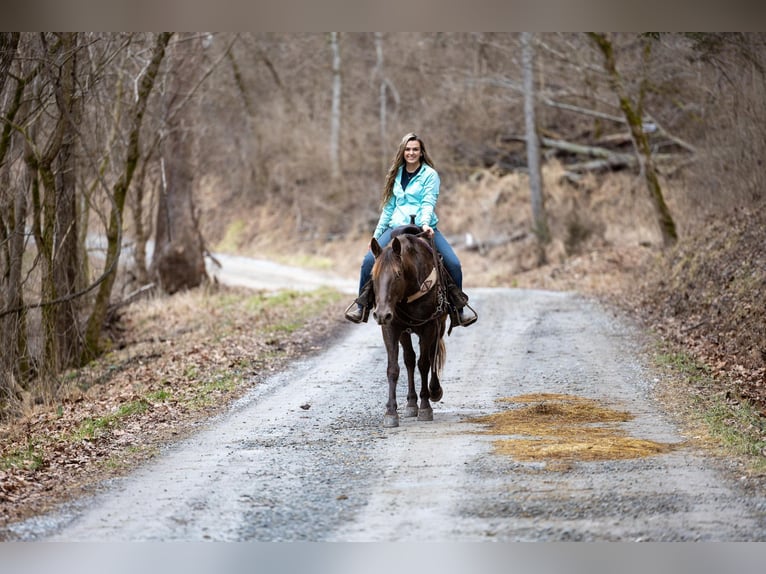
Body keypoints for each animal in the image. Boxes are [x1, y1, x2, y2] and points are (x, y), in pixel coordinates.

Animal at [370, 227, 450, 430]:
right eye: (373, 276)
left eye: (398, 274)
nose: (381, 314)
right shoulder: (391, 328)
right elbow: (393, 368)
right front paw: (391, 412)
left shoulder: (429, 327)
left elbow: (424, 364)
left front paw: (425, 407)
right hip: (405, 332)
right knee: (409, 360)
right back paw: (412, 403)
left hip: (439, 326)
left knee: (431, 356)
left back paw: (434, 391)